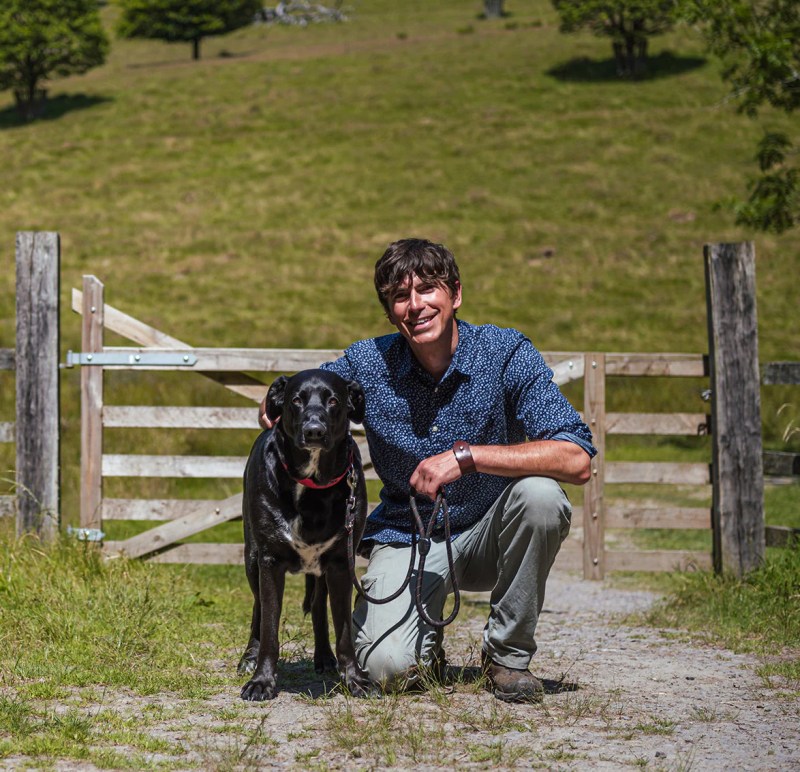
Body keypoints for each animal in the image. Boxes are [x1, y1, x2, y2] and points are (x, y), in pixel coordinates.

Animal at [238, 368, 376, 700]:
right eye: (296, 400)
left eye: (334, 400)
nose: (314, 431)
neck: (312, 484)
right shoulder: (270, 561)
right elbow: (270, 627)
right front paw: (262, 680)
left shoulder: (340, 563)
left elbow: (344, 631)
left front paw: (354, 679)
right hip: (251, 558)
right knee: (258, 608)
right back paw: (249, 656)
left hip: (321, 569)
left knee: (317, 605)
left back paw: (324, 657)